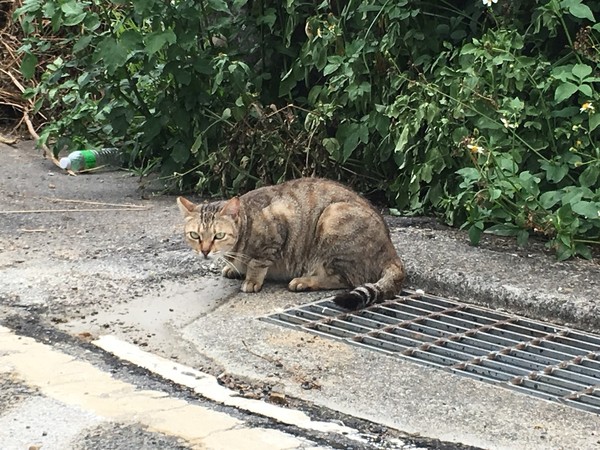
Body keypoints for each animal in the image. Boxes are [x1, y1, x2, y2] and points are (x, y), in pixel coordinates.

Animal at [176, 177, 406, 310]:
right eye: (195, 235)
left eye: (219, 236)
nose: (205, 251)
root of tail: (391, 252)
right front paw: (233, 268)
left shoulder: (278, 226)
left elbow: (258, 262)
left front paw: (251, 279)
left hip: (332, 219)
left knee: (344, 279)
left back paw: (303, 281)